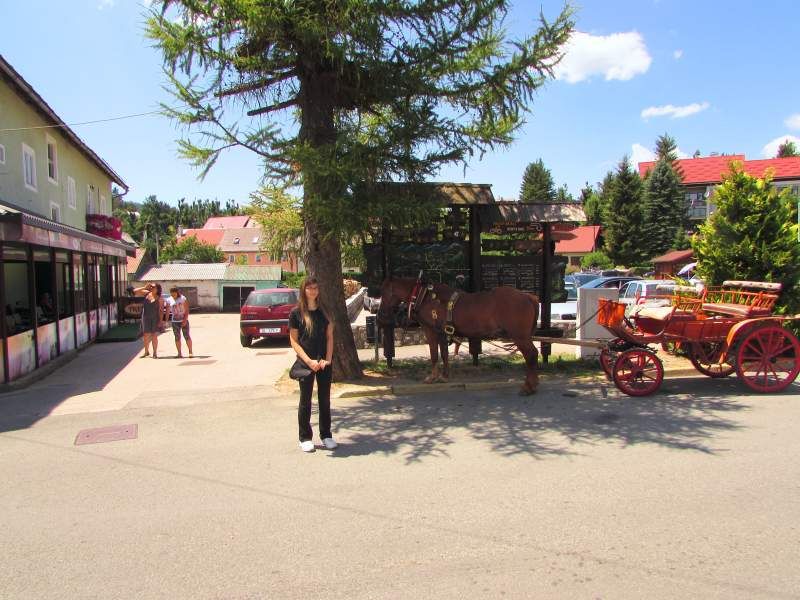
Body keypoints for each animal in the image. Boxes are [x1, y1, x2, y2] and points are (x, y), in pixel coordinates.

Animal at [376, 278, 540, 398]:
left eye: (384, 293)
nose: (380, 315)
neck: (425, 297)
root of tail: (528, 296)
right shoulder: (442, 333)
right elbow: (444, 354)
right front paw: (444, 376)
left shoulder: (432, 331)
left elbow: (435, 354)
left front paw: (433, 377)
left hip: (520, 337)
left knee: (531, 355)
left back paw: (528, 387)